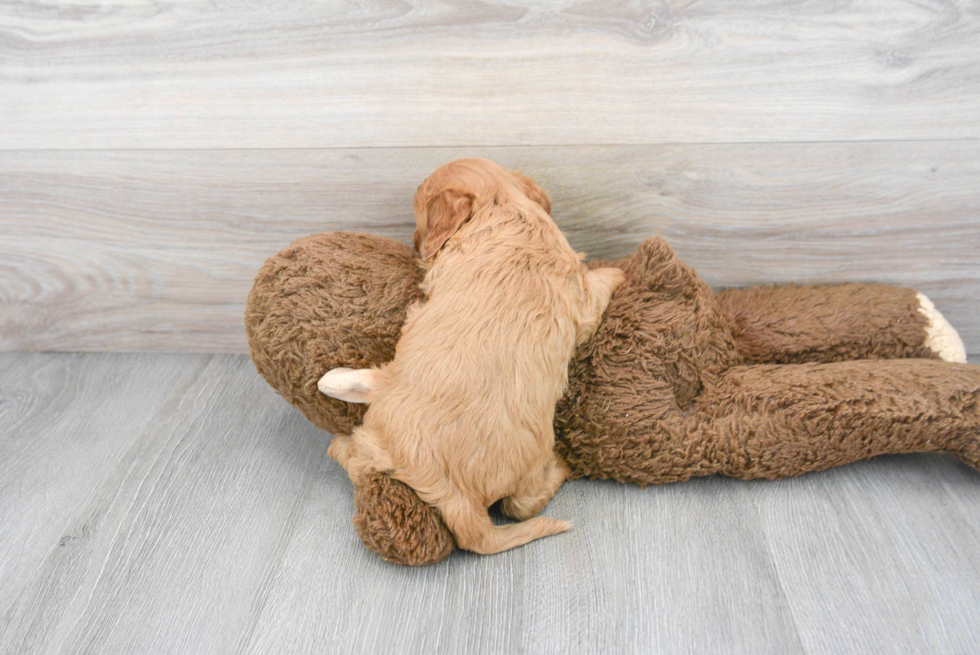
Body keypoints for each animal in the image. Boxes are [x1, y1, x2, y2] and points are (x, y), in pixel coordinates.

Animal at [322, 159, 628, 552]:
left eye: (418, 213)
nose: (414, 244)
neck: (506, 207)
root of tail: (460, 498)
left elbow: (602, 280)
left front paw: (617, 270)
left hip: (376, 438)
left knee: (354, 457)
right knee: (522, 505)